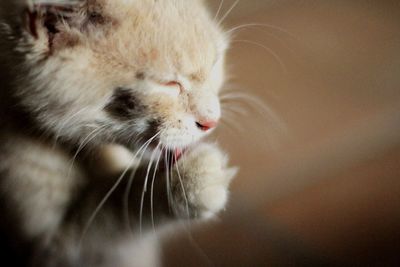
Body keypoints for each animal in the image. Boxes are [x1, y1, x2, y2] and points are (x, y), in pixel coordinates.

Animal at [0, 0, 238, 266]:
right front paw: (189, 181)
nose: (211, 121)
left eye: (215, 62)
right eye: (168, 84)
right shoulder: (49, 248)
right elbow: (114, 209)